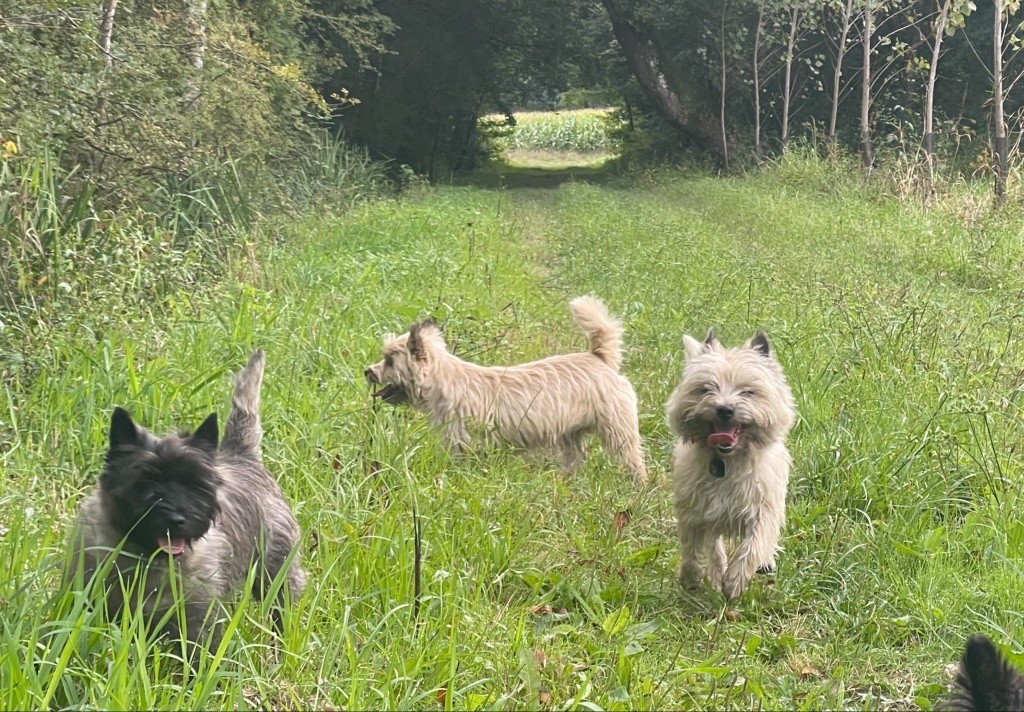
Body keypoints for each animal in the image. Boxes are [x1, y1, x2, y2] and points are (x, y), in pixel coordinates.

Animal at [65, 352, 305, 663]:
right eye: (145, 482)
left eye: (196, 485)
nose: (177, 518)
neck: (146, 560)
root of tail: (242, 455)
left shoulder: (197, 622)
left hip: (277, 573)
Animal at [364, 295, 643, 485]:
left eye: (389, 361)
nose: (368, 371)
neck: (445, 381)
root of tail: (599, 358)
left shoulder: (461, 440)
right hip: (570, 435)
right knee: (576, 459)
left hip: (618, 430)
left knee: (634, 459)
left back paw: (637, 486)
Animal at [663, 327, 798, 602]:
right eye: (706, 389)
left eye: (748, 392)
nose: (724, 409)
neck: (726, 460)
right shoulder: (695, 510)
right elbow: (693, 549)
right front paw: (692, 579)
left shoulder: (763, 507)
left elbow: (753, 544)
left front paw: (735, 582)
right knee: (714, 548)